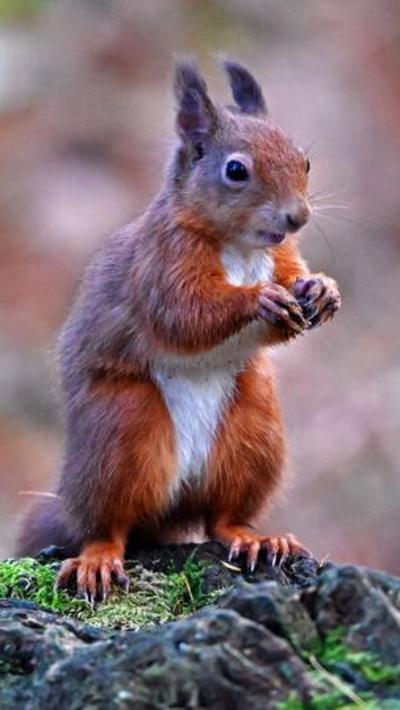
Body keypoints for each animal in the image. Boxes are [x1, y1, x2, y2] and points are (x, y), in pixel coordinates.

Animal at [17, 60, 341, 601]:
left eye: (305, 161)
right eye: (236, 170)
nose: (298, 217)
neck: (241, 246)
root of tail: (176, 504)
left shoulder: (282, 255)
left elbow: (294, 277)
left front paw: (321, 289)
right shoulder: (163, 264)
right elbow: (186, 316)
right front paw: (259, 299)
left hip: (254, 433)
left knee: (221, 519)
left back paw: (257, 538)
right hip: (121, 430)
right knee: (108, 525)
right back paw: (97, 560)